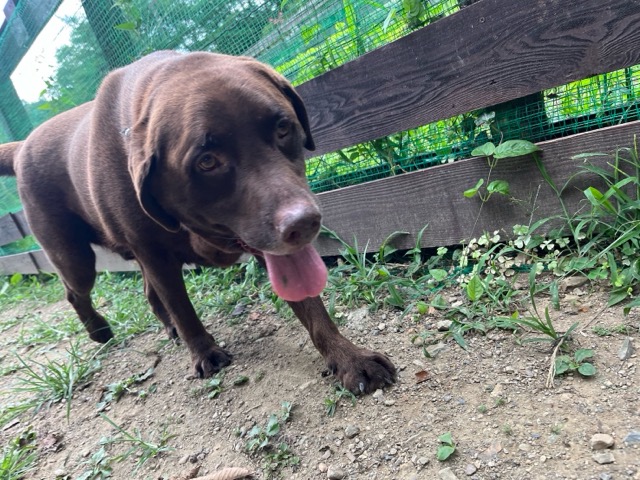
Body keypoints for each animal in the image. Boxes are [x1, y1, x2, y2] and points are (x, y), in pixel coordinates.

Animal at [0, 51, 396, 394]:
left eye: (283, 128)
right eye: (207, 161)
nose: (304, 223)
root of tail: (21, 146)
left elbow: (312, 309)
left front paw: (348, 358)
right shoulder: (155, 254)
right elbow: (182, 307)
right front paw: (204, 353)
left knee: (148, 294)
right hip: (75, 258)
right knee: (75, 291)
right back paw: (100, 331)